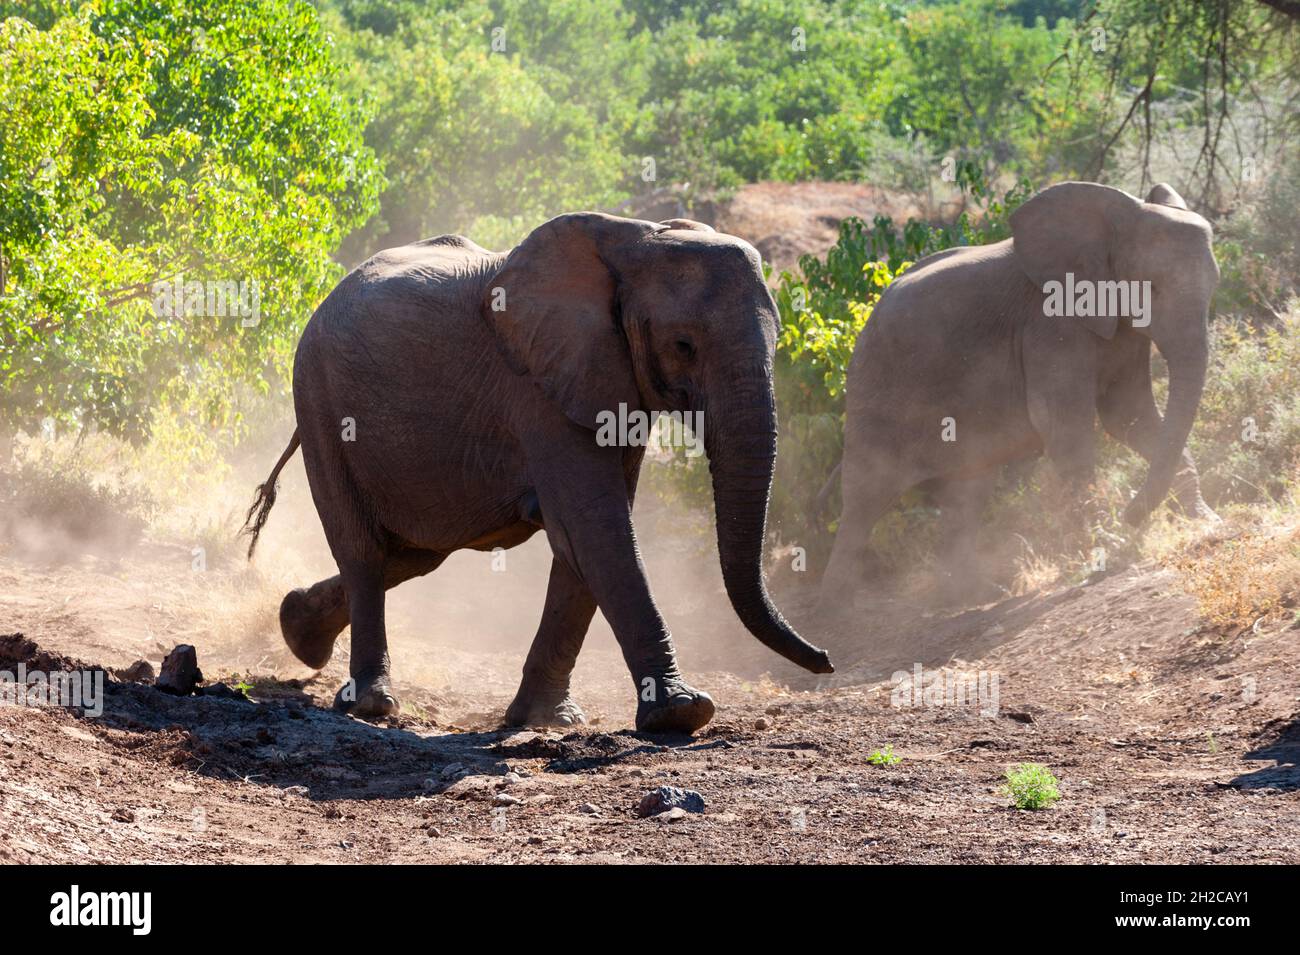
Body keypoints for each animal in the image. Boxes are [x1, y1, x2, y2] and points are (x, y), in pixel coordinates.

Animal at [244, 213, 832, 738]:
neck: (634, 241)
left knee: (413, 553)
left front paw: (547, 720)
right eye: (683, 345)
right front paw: (682, 714)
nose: (826, 659)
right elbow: (595, 531)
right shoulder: (541, 390)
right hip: (317, 400)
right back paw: (371, 705)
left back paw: (296, 628)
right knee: (364, 549)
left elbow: (585, 543)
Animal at [821, 180, 1216, 605]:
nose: (1131, 516)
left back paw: (974, 595)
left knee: (969, 490)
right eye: (1152, 288)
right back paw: (840, 606)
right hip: (874, 385)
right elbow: (1065, 428)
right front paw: (1107, 545)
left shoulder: (1120, 329)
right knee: (865, 497)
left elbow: (1128, 415)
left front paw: (1207, 521)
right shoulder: (1048, 324)